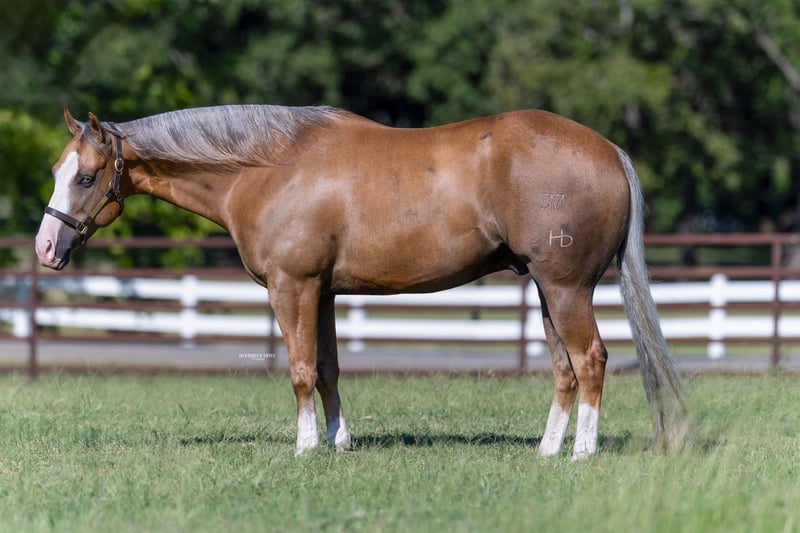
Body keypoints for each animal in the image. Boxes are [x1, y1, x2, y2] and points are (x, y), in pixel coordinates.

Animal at [35, 105, 689, 459]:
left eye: (87, 177)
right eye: (57, 169)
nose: (45, 247)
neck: (266, 167)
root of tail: (608, 149)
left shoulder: (292, 286)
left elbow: (300, 369)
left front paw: (304, 447)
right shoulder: (322, 291)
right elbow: (327, 368)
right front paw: (339, 441)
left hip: (566, 288)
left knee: (592, 360)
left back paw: (581, 452)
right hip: (547, 290)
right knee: (564, 368)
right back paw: (548, 450)